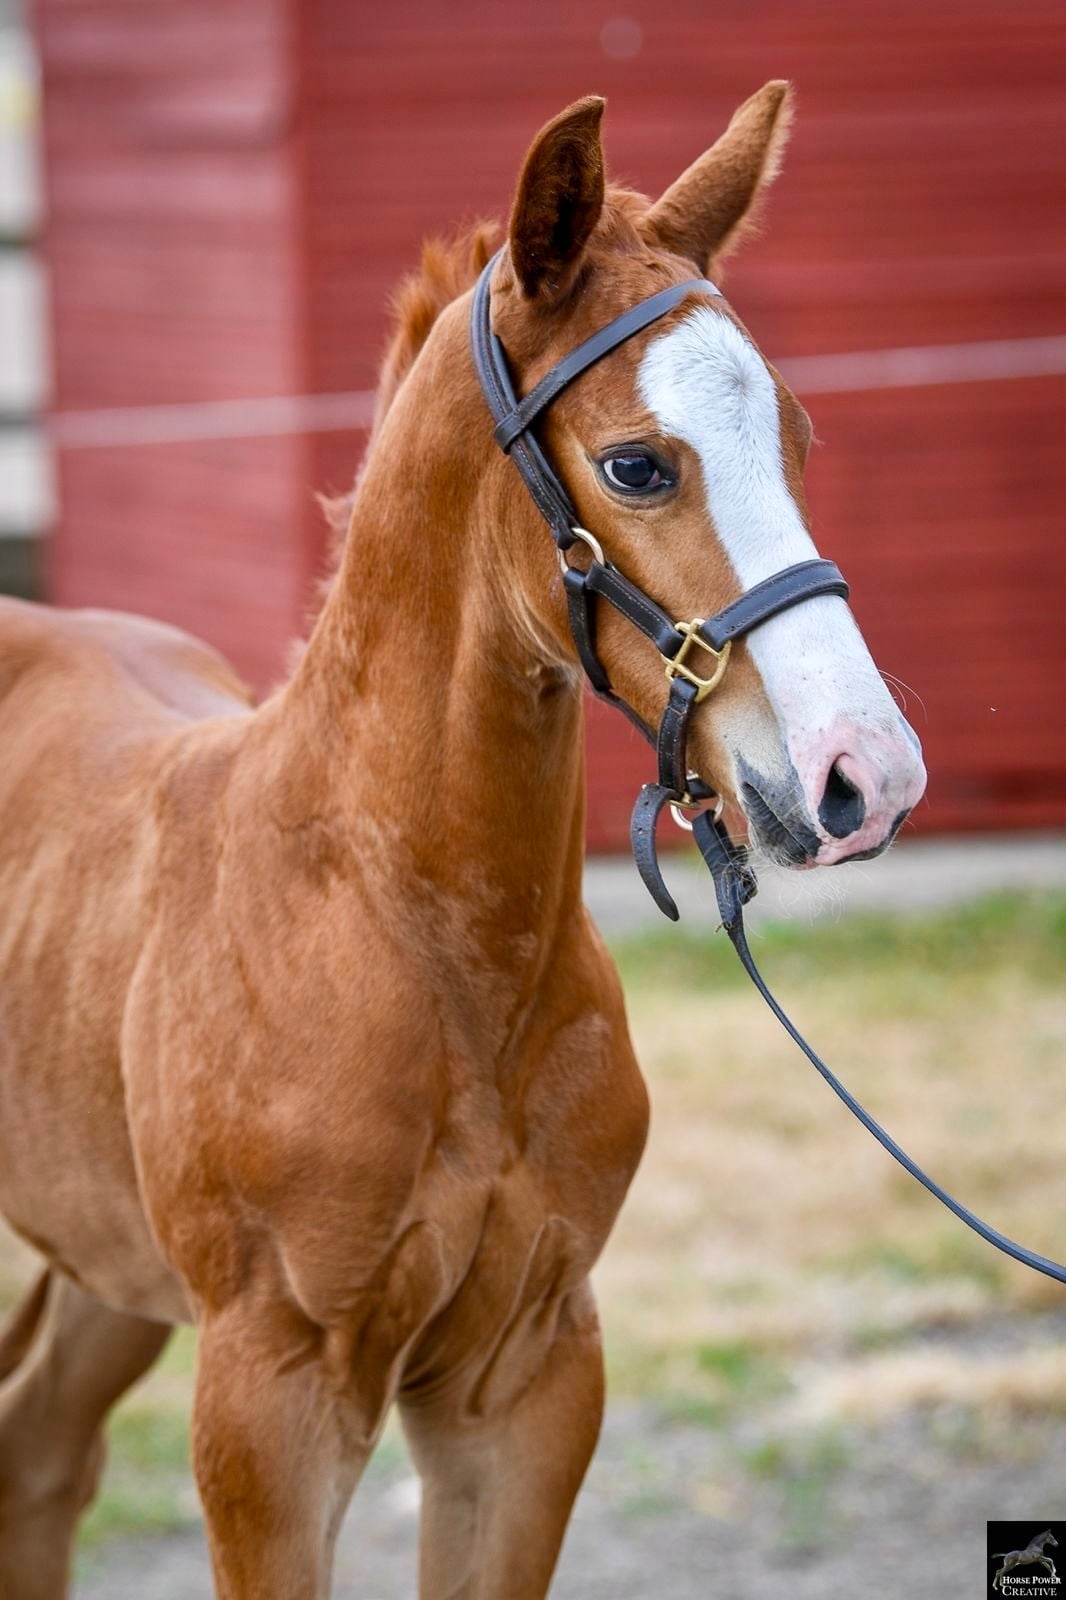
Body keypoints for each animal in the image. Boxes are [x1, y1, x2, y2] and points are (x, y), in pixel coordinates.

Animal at [0, 82, 925, 1599]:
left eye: (793, 439)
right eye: (634, 463)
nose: (868, 776)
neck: (413, 932)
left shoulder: (526, 1376)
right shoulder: (272, 1398)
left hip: (100, 1263)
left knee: (38, 1459)